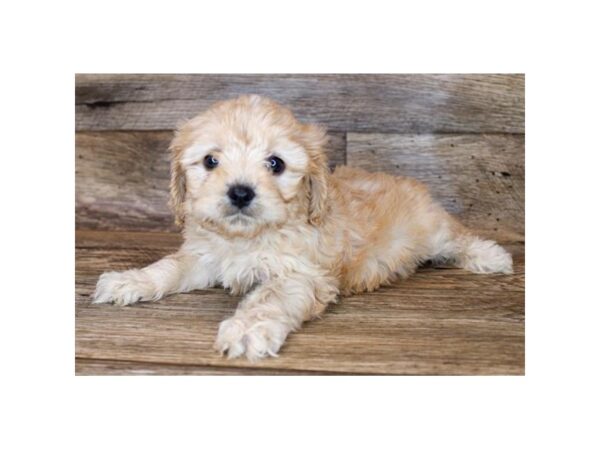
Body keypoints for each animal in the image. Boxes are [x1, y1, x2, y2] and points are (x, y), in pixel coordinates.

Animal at [92, 95, 510, 362]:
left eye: (275, 163)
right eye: (210, 161)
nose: (240, 192)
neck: (248, 237)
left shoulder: (301, 274)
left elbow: (269, 299)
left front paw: (247, 329)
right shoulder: (204, 254)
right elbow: (169, 267)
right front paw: (130, 280)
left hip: (433, 227)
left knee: (457, 237)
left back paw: (491, 256)